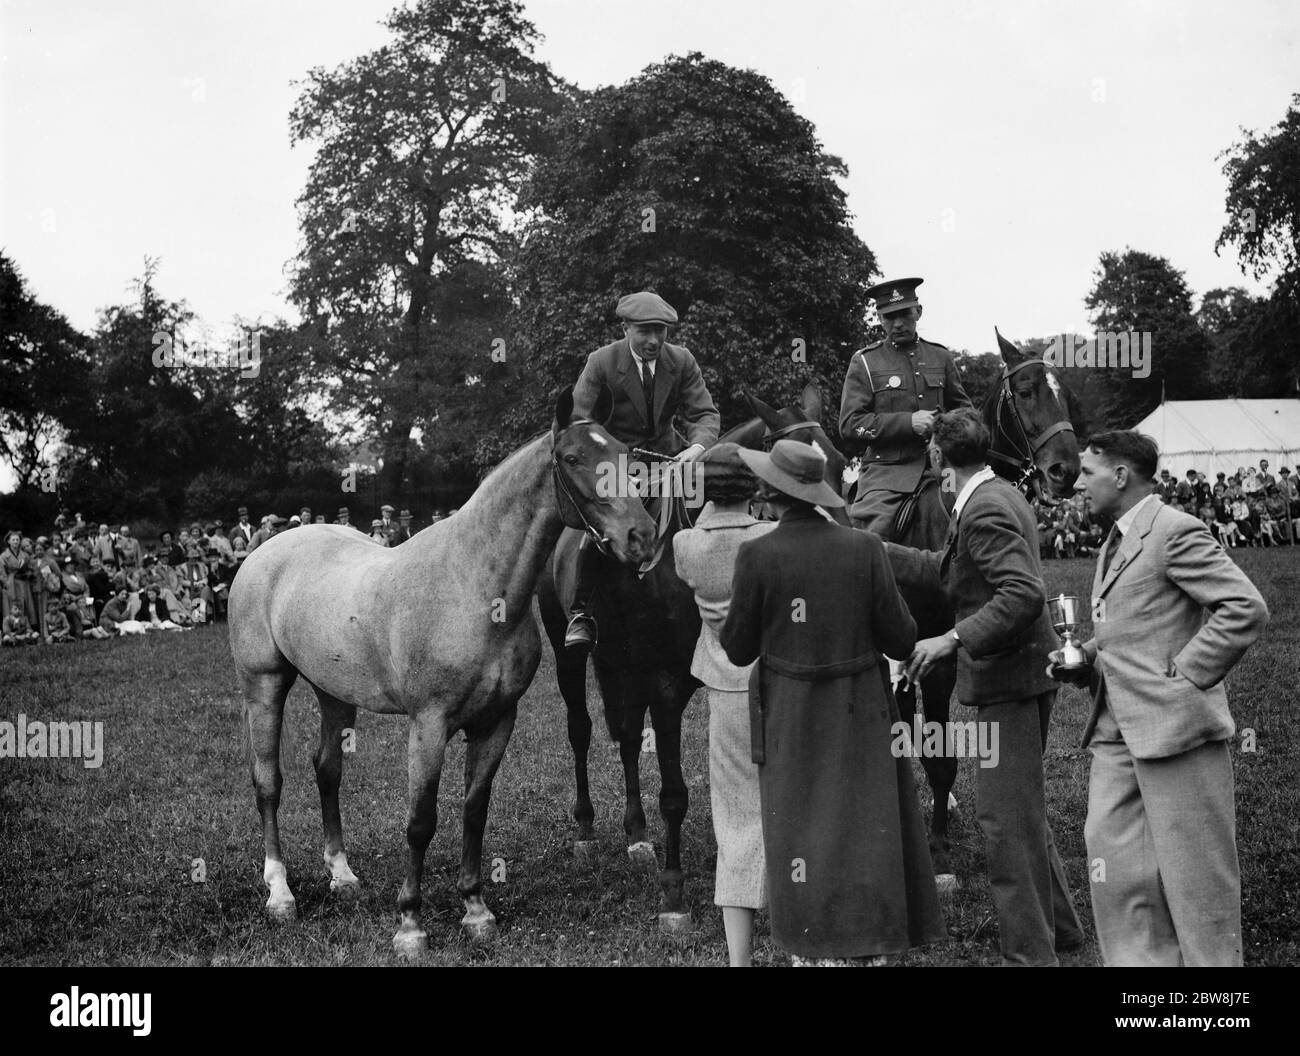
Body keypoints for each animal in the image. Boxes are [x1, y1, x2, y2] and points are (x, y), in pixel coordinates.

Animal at [228, 392, 655, 962]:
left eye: (629, 456)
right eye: (572, 459)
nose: (642, 537)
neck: (474, 588)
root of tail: (266, 549)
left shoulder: (496, 722)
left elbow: (473, 810)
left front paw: (475, 911)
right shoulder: (428, 725)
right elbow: (421, 821)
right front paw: (410, 925)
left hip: (333, 692)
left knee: (327, 771)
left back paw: (342, 875)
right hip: (264, 685)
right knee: (268, 781)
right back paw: (279, 893)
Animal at [533, 379, 847, 931]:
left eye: (842, 462)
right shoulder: (662, 684)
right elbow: (675, 794)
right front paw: (674, 895)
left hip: (621, 668)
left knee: (627, 738)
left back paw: (637, 834)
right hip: (575, 661)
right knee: (582, 730)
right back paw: (587, 830)